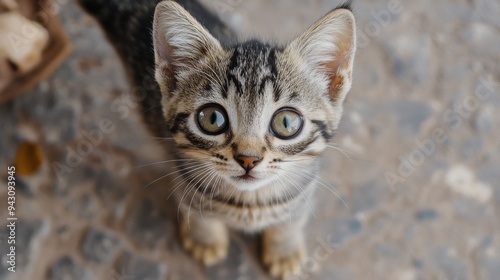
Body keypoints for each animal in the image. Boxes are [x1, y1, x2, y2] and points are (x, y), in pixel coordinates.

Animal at [78, 0, 356, 278]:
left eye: (286, 122)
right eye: (212, 118)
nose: (248, 159)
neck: (249, 204)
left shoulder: (306, 184)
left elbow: (292, 218)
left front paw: (284, 250)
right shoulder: (183, 172)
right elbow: (196, 210)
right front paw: (205, 240)